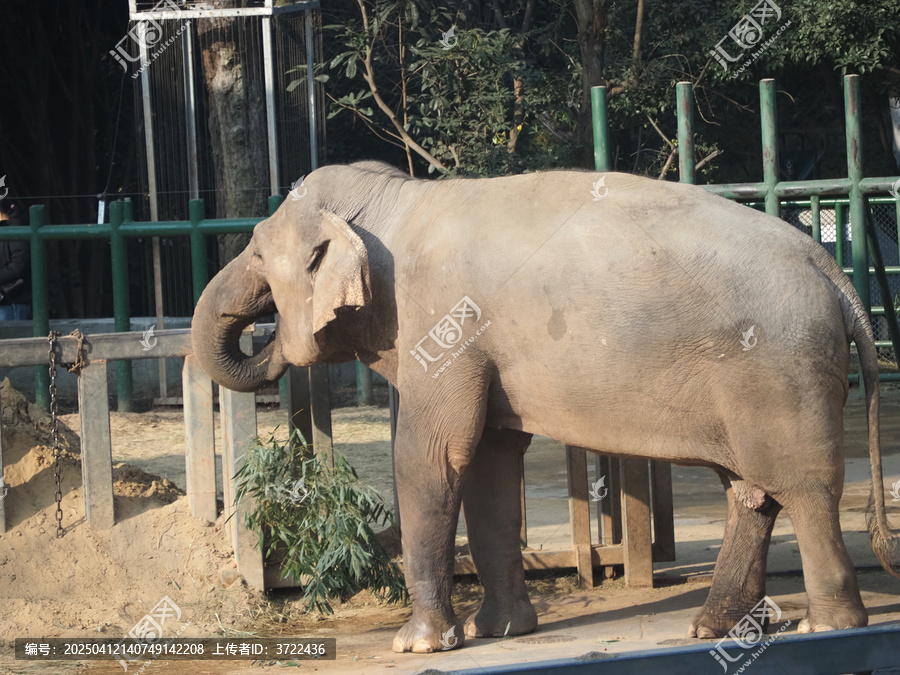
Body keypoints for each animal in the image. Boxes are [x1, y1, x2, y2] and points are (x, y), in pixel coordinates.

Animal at [191, 161, 900, 653]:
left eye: (258, 251)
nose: (263, 332)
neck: (397, 198)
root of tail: (830, 269)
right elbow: (489, 459)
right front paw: (503, 632)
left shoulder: (445, 326)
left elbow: (433, 454)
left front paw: (418, 645)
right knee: (750, 491)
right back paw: (714, 628)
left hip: (781, 369)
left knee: (802, 488)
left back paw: (826, 628)